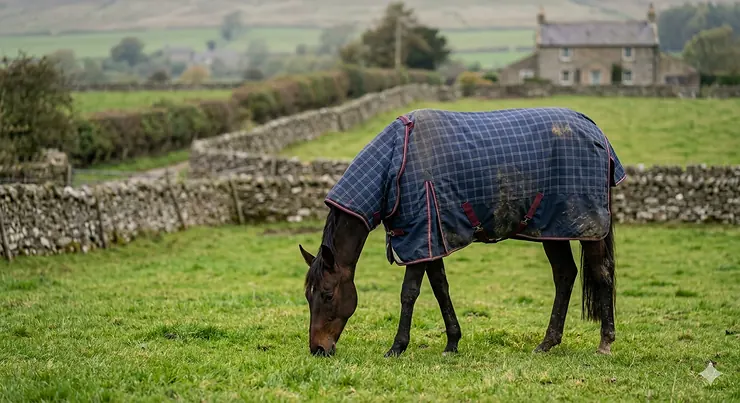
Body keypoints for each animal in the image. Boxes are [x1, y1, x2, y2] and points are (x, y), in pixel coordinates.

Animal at [299, 107, 626, 357]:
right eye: (308, 296)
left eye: (327, 294)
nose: (318, 349)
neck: (395, 165)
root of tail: (597, 133)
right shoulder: (431, 239)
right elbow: (440, 288)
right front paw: (452, 343)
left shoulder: (419, 238)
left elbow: (409, 293)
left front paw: (397, 347)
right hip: (552, 230)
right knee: (565, 275)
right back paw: (547, 343)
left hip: (588, 228)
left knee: (602, 274)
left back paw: (605, 343)